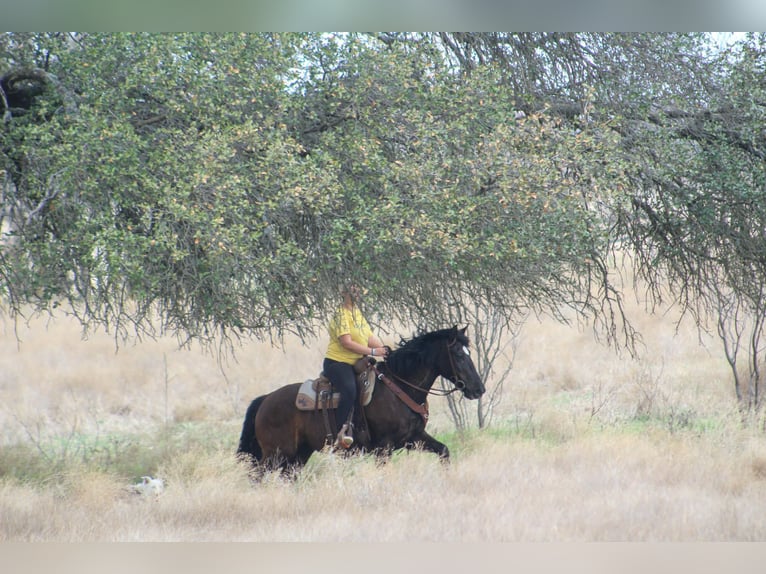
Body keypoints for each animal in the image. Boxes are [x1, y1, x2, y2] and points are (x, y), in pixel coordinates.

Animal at [237, 326, 485, 475]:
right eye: (459, 355)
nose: (478, 389)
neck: (401, 386)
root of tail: (265, 401)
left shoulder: (413, 438)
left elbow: (444, 451)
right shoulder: (384, 448)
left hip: (298, 455)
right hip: (276, 454)